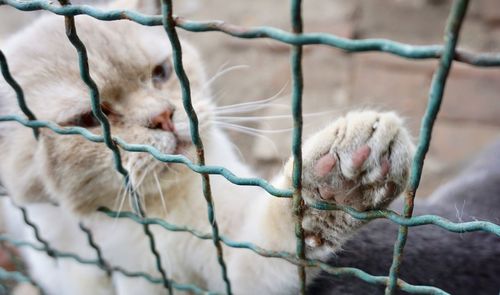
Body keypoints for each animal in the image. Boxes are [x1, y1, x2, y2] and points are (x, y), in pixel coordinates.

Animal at [0, 1, 414, 294]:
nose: (163, 116)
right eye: (90, 117)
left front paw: (341, 184)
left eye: (161, 73)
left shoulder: (227, 259)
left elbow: (284, 234)